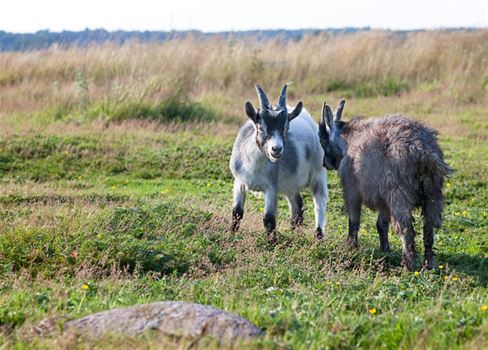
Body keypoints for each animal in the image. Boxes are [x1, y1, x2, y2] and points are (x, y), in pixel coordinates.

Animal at [229, 85, 328, 239]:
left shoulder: (271, 187)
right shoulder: (239, 181)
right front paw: (231, 234)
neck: (254, 167)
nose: (276, 149)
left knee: (319, 202)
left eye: (286, 129)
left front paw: (272, 241)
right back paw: (294, 230)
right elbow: (237, 212)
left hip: (318, 171)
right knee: (297, 203)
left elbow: (268, 219)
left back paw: (318, 234)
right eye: (261, 128)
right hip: (290, 182)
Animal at [318, 100, 452, 270]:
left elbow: (354, 221)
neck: (348, 141)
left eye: (323, 140)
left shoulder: (352, 191)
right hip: (432, 193)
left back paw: (408, 265)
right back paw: (429, 264)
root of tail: (422, 152)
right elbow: (381, 224)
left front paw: (351, 246)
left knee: (407, 229)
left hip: (399, 195)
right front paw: (385, 250)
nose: (324, 163)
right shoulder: (382, 199)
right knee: (429, 229)